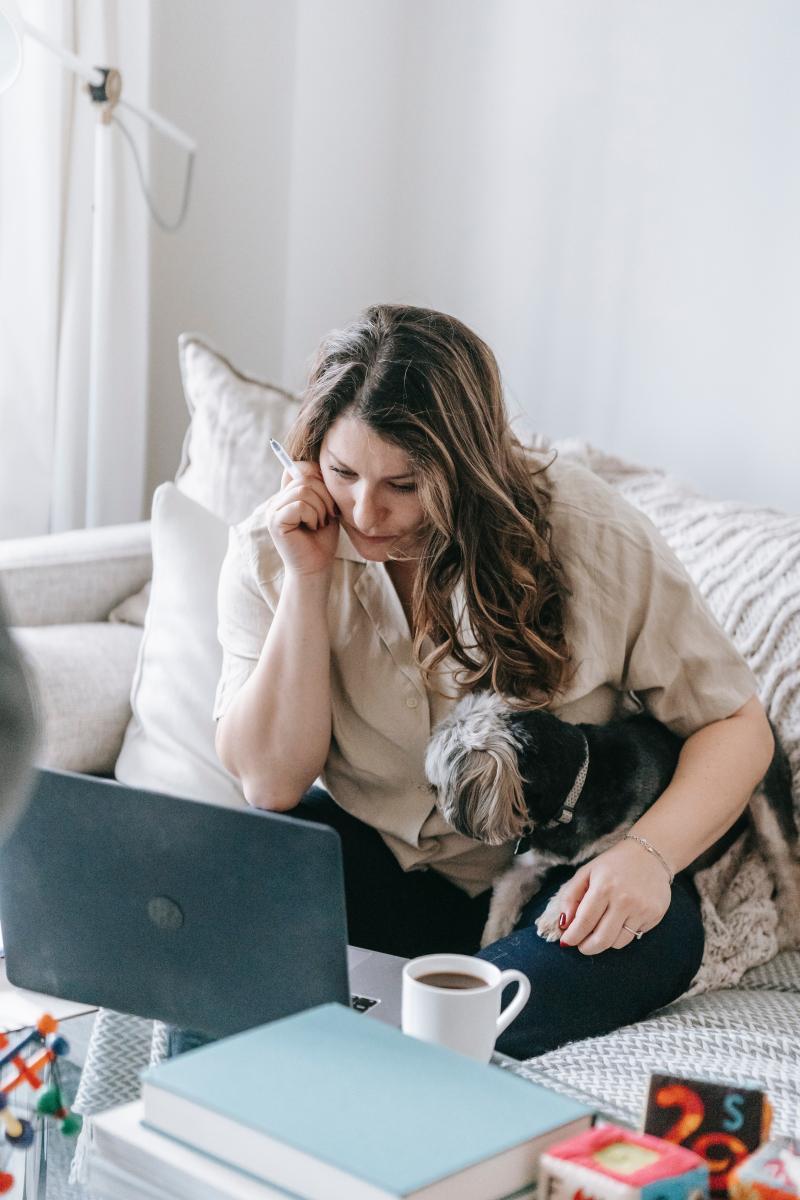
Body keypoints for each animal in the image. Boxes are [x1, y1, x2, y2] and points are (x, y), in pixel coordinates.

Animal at [424, 696, 800, 945]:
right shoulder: (525, 866)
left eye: (440, 779)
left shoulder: (623, 839)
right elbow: (500, 909)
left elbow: (594, 872)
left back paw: (787, 930)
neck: (578, 785)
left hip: (764, 794)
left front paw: (555, 915)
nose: (433, 795)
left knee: (785, 859)